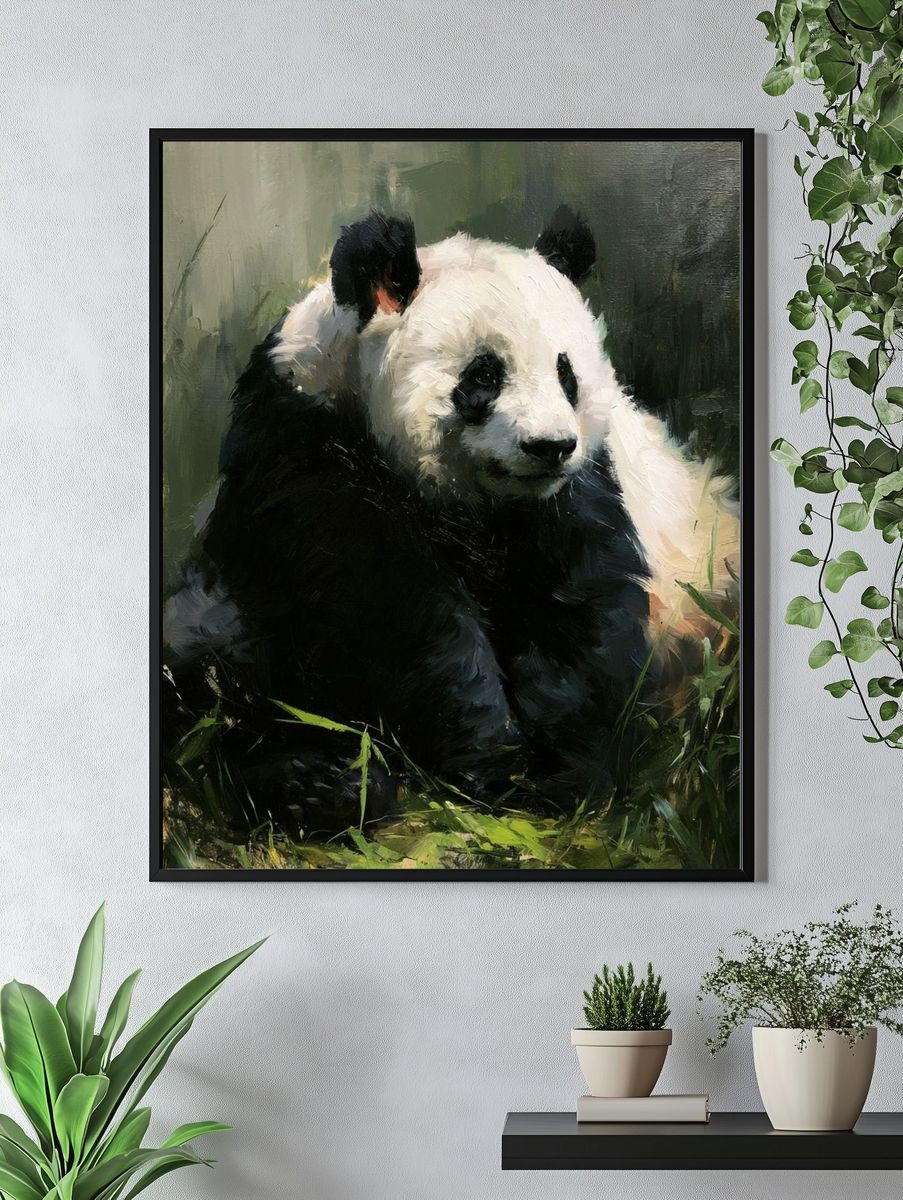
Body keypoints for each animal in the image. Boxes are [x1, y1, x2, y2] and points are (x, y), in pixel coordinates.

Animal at [164, 209, 738, 826]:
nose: (550, 446)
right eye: (483, 375)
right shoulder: (301, 442)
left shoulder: (577, 493)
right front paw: (492, 754)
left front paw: (566, 769)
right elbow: (382, 601)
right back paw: (320, 783)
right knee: (209, 673)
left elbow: (582, 604)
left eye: (567, 374)